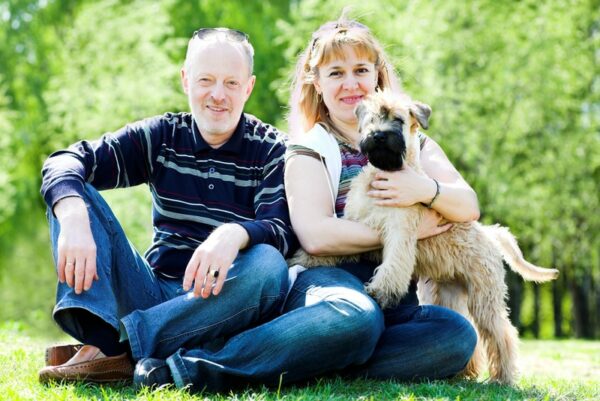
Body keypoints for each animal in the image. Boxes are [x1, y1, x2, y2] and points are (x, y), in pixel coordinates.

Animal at [288, 89, 560, 382]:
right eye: (371, 119)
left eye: (397, 120)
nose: (378, 135)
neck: (385, 174)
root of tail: (488, 233)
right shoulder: (348, 225)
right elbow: (327, 249)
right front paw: (301, 260)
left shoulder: (400, 234)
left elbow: (392, 266)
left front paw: (381, 292)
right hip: (450, 293)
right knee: (473, 332)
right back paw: (464, 372)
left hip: (484, 296)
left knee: (503, 333)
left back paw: (503, 377)